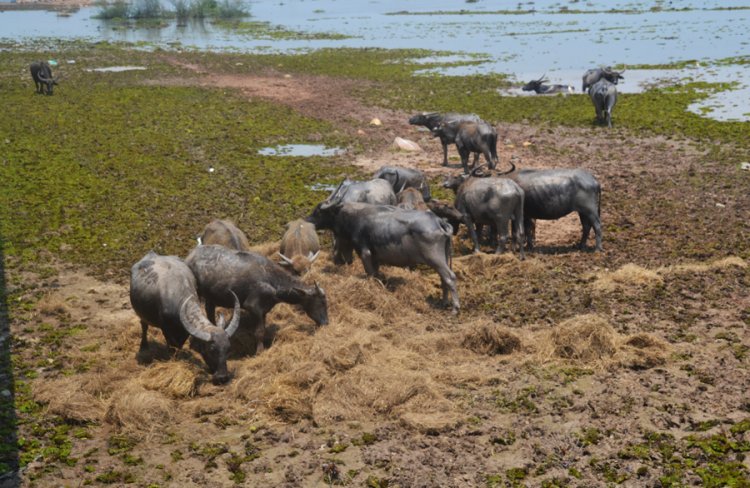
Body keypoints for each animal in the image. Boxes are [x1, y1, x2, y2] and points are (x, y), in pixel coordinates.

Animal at [129, 252, 241, 386]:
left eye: (228, 348)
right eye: (211, 349)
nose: (222, 377)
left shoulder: (184, 332)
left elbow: (180, 345)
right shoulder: (166, 330)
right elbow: (172, 347)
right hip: (141, 313)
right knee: (144, 325)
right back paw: (143, 346)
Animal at [186, 244, 328, 354]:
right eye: (322, 302)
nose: (326, 322)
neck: (272, 281)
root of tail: (190, 255)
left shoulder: (264, 310)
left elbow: (263, 330)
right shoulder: (253, 307)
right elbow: (259, 332)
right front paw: (259, 351)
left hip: (211, 296)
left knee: (209, 310)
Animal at [312, 200, 464, 314]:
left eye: (318, 211)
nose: (309, 220)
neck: (354, 217)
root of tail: (438, 221)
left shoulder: (365, 253)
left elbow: (371, 274)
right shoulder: (375, 257)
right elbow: (377, 274)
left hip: (435, 259)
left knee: (450, 277)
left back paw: (455, 308)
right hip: (444, 258)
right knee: (443, 279)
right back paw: (444, 302)